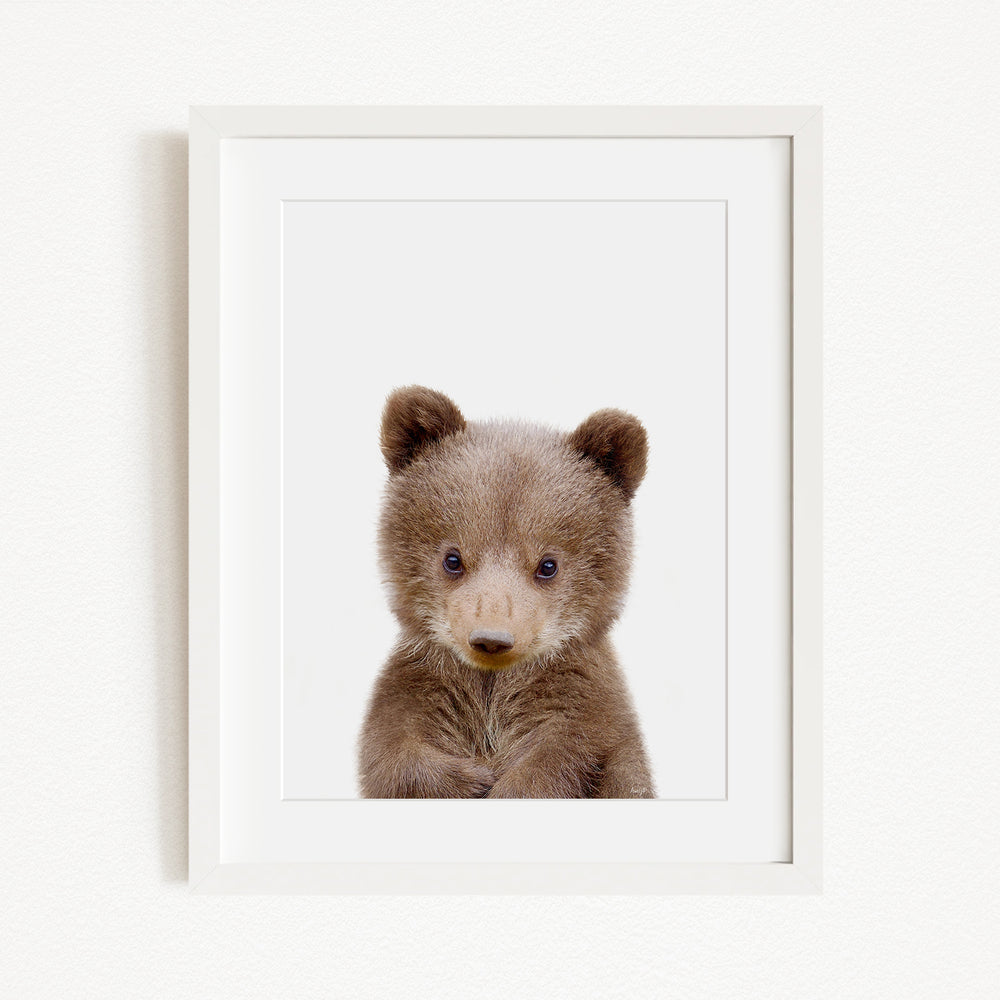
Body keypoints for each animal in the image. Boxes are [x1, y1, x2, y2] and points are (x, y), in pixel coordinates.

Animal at [357, 385, 655, 799]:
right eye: (453, 558)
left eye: (548, 564)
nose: (491, 639)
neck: (491, 686)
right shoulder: (420, 685)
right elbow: (392, 751)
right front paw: (472, 779)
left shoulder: (581, 704)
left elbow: (565, 755)